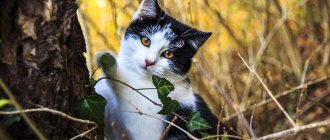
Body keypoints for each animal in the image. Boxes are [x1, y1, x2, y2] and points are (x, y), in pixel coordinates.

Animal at [94, 0, 236, 139]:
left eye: (169, 54)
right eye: (145, 41)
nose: (149, 61)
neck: (141, 81)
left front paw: (108, 61)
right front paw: (107, 61)